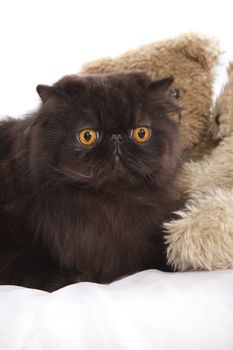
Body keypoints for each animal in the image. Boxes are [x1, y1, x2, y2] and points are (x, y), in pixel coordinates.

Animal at [0, 71, 182, 290]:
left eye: (141, 133)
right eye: (87, 136)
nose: (116, 137)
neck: (109, 205)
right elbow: (29, 262)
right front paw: (70, 278)